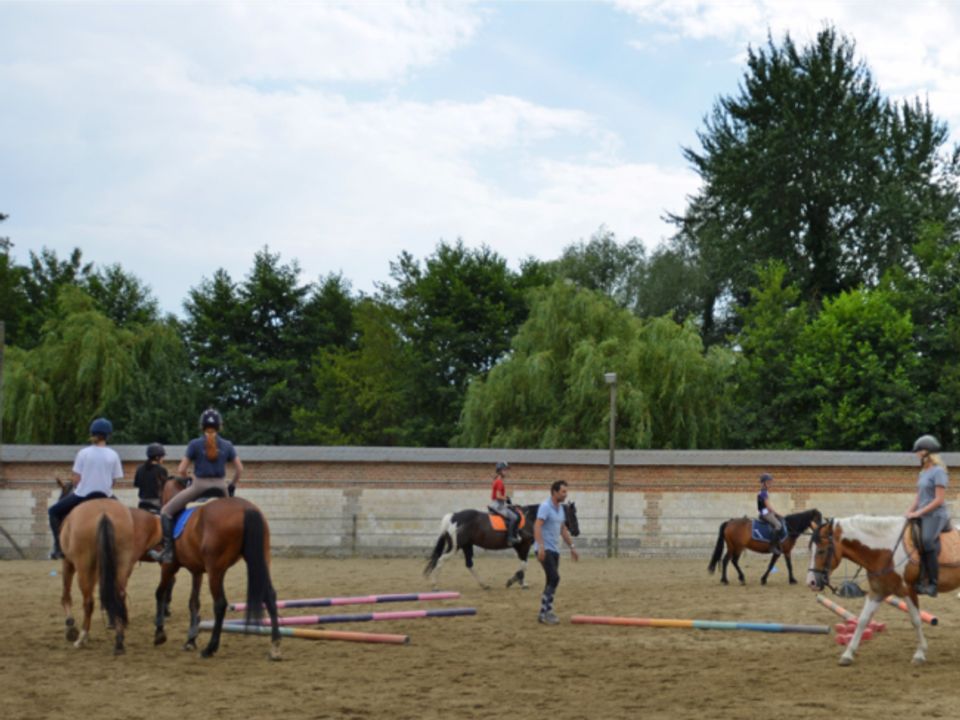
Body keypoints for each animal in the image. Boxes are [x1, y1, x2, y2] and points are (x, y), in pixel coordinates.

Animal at [54, 480, 161, 656]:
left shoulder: (68, 562)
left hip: (84, 566)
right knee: (119, 594)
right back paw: (119, 640)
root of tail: (104, 513)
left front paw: (70, 626)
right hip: (122, 562)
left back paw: (82, 637)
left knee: (88, 601)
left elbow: (66, 595)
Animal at [154, 476, 280, 660]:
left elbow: (160, 593)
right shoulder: (197, 571)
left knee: (220, 604)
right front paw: (190, 639)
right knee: (269, 596)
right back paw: (275, 646)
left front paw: (159, 633)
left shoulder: (169, 566)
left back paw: (210, 648)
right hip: (259, 562)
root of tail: (247, 509)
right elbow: (193, 602)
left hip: (215, 571)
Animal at [426, 500, 576, 592]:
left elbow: (523, 565)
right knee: (441, 560)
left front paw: (521, 582)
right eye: (573, 514)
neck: (530, 519)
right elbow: (524, 565)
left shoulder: (520, 547)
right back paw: (435, 585)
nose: (576, 531)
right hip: (455, 547)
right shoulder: (524, 545)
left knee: (469, 564)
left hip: (467, 545)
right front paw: (514, 581)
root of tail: (454, 517)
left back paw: (484, 584)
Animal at [804, 516, 960, 668]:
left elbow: (916, 620)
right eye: (810, 550)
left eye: (822, 551)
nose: (811, 582)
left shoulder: (908, 591)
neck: (886, 550)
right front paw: (847, 654)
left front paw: (920, 654)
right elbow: (863, 620)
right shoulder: (877, 592)